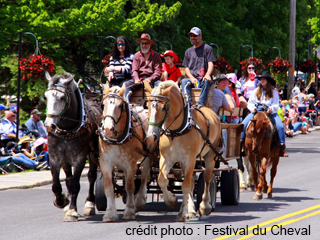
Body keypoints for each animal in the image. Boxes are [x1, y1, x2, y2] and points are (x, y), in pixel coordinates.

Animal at [44, 71, 102, 221]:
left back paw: (89, 204)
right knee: (69, 180)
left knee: (91, 176)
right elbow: (57, 185)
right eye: (46, 97)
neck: (67, 129)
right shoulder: (55, 157)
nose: (49, 125)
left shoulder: (80, 158)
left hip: (92, 155)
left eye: (62, 97)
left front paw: (71, 211)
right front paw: (62, 202)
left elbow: (76, 184)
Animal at [98, 84, 154, 221]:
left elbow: (129, 186)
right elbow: (108, 187)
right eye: (103, 105)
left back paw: (139, 201)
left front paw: (129, 211)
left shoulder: (130, 164)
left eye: (120, 106)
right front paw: (110, 213)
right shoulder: (105, 164)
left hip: (147, 155)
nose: (107, 129)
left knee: (144, 177)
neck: (116, 140)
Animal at [144, 80, 220, 221]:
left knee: (207, 178)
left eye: (163, 108)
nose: (151, 136)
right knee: (191, 182)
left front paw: (182, 213)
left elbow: (185, 186)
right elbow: (162, 180)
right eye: (148, 106)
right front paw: (172, 201)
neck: (177, 131)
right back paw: (191, 210)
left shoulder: (190, 159)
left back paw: (205, 206)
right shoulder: (166, 158)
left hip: (210, 155)